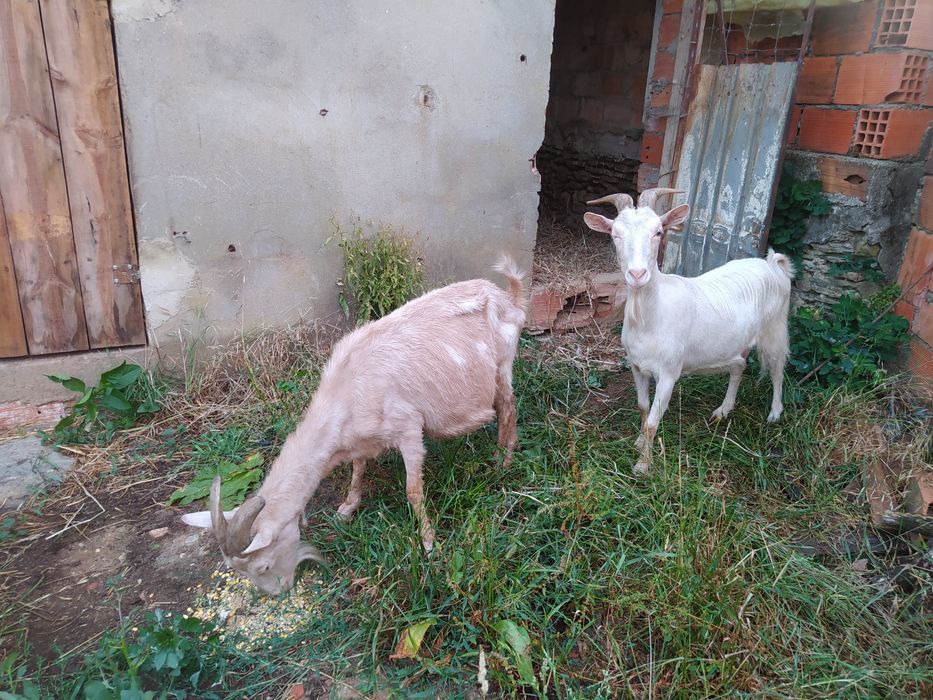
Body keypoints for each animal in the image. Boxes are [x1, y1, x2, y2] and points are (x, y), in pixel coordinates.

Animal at [180, 258, 526, 594]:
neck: (344, 392)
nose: (279, 592)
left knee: (509, 407)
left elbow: (413, 491)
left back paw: (503, 461)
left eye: (263, 566)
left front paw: (429, 543)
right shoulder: (361, 437)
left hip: (503, 363)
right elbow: (358, 467)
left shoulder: (408, 427)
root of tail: (509, 296)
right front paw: (347, 508)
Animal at [583, 189, 793, 474]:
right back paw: (723, 410)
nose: (637, 274)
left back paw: (774, 412)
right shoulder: (637, 366)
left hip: (775, 327)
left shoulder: (669, 373)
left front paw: (643, 465)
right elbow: (643, 407)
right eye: (615, 234)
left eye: (658, 232)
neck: (650, 318)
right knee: (739, 366)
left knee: (778, 368)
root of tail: (774, 264)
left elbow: (653, 420)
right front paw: (639, 442)